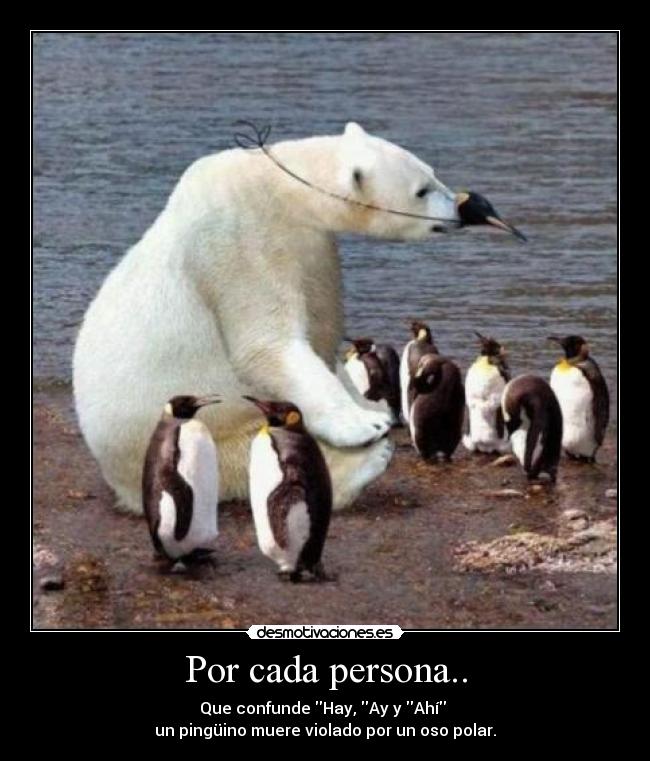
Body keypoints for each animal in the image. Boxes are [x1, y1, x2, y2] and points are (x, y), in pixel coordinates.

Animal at [73, 122, 464, 514]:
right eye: (422, 190)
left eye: (433, 172)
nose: (462, 207)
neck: (276, 187)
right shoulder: (239, 240)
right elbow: (267, 344)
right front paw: (366, 423)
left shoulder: (312, 249)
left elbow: (320, 333)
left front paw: (368, 404)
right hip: (180, 436)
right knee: (245, 457)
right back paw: (362, 464)